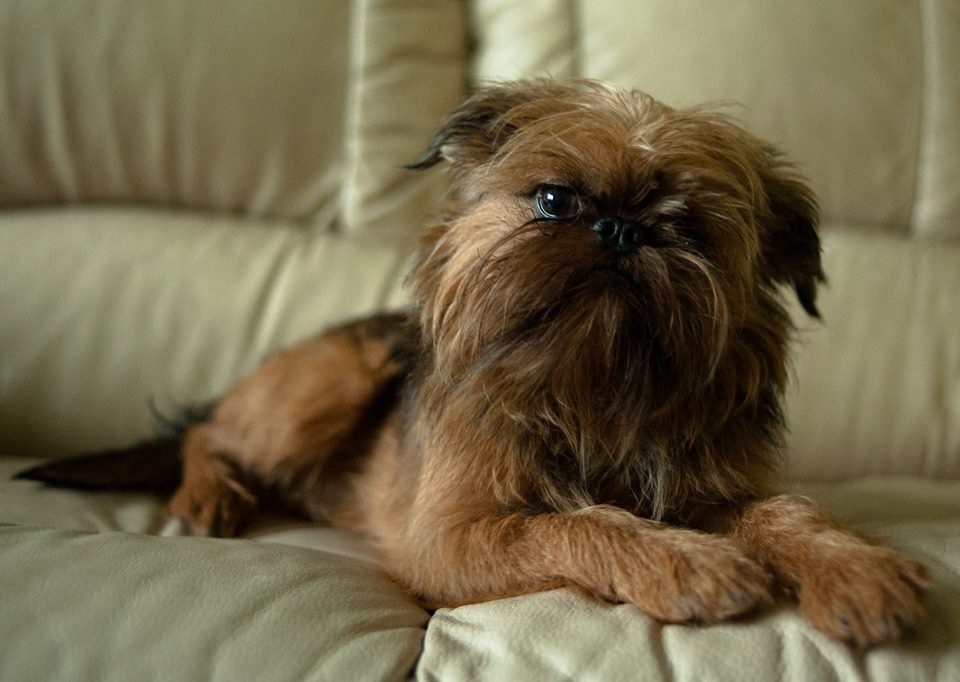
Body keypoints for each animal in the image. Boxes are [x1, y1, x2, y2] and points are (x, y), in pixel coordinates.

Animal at [19, 80, 929, 648]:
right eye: (556, 200)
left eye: (690, 230)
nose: (623, 230)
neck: (596, 389)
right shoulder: (451, 538)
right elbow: (577, 522)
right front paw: (684, 560)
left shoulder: (717, 489)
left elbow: (787, 513)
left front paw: (856, 566)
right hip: (331, 381)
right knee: (205, 434)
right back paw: (210, 496)